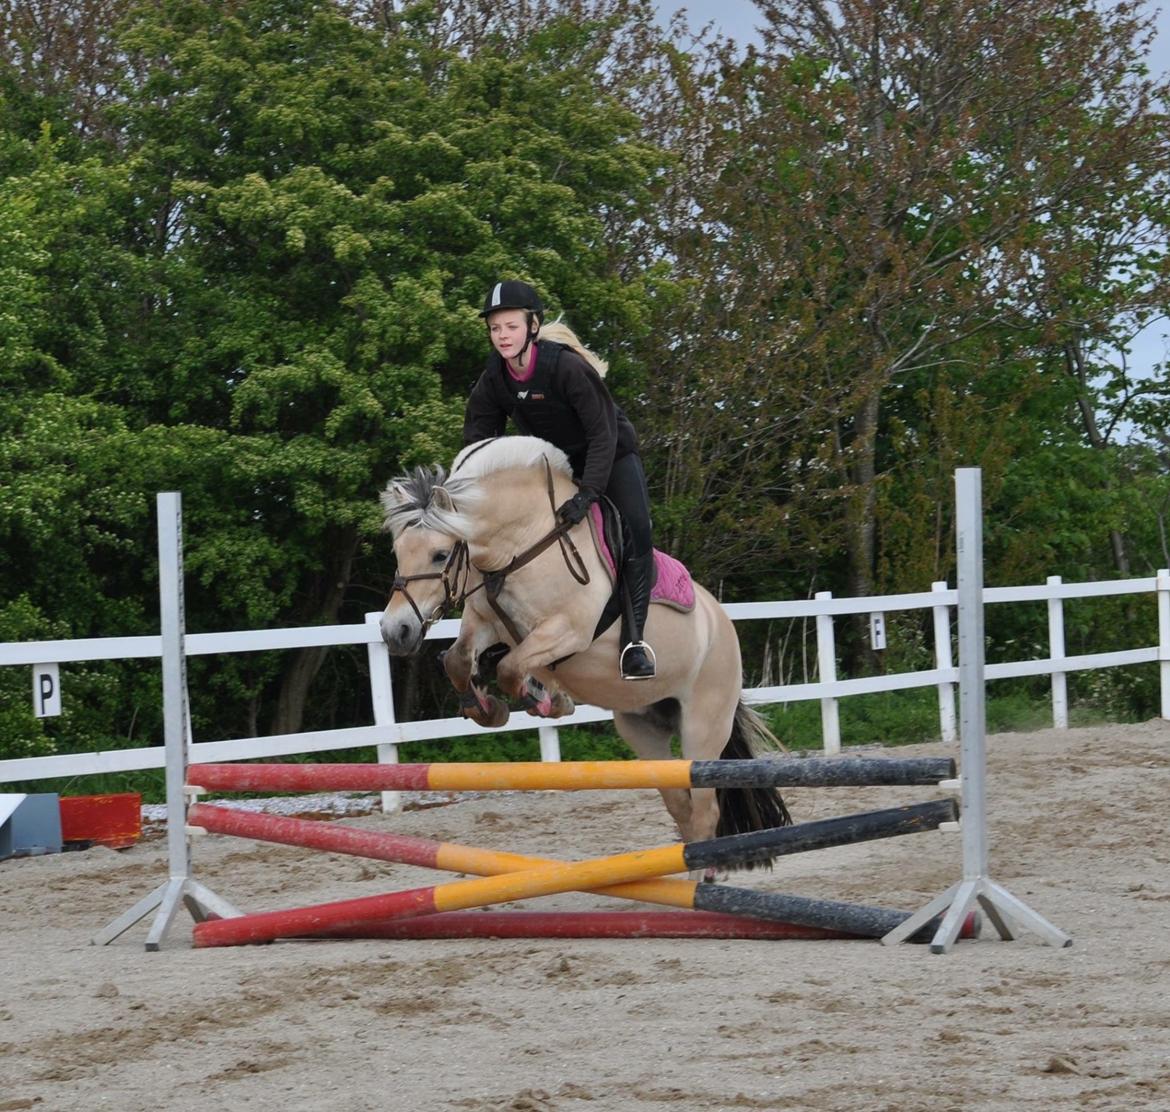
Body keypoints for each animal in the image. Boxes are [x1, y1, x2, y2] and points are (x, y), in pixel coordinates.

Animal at [379, 435, 790, 852]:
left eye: (440, 554)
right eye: (397, 552)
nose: (395, 631)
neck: (521, 544)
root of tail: (723, 626)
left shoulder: (568, 631)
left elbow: (510, 668)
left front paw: (546, 700)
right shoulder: (486, 623)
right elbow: (460, 660)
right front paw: (489, 708)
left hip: (702, 727)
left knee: (705, 811)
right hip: (643, 727)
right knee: (682, 808)